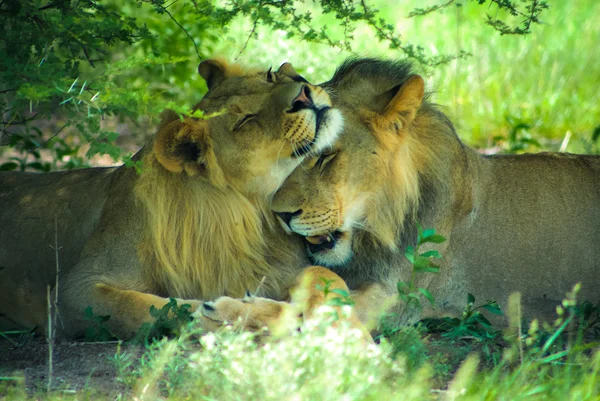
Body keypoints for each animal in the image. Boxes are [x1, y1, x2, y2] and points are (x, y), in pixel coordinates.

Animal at [0, 59, 342, 338]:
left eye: (270, 77)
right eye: (245, 121)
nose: (303, 96)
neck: (251, 213)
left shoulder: (280, 267)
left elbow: (327, 276)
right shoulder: (72, 293)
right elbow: (152, 308)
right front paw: (257, 316)